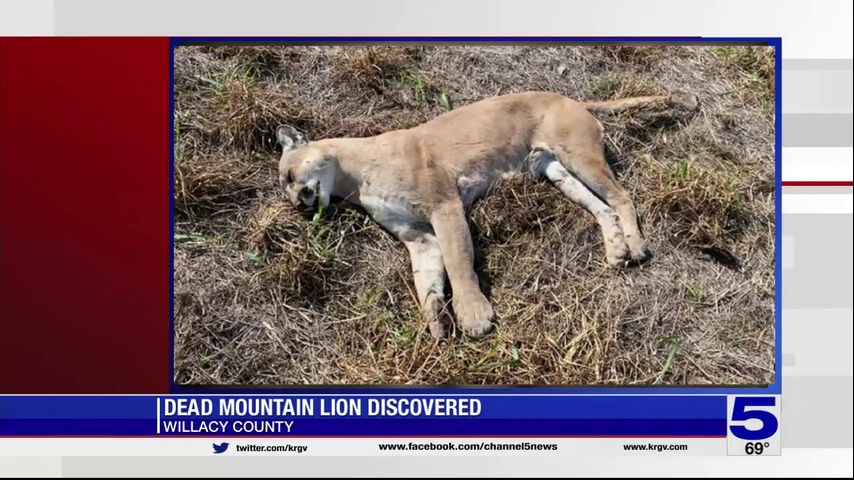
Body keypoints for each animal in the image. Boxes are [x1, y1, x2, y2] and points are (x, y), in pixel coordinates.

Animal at [276, 91, 699, 339]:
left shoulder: (444, 206)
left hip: (579, 153)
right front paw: (436, 323)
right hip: (556, 170)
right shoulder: (417, 236)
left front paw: (473, 316)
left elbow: (459, 263)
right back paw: (616, 251)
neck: (354, 177)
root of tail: (570, 98)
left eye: (289, 176)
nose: (298, 204)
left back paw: (637, 247)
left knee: (623, 197)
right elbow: (425, 280)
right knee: (603, 207)